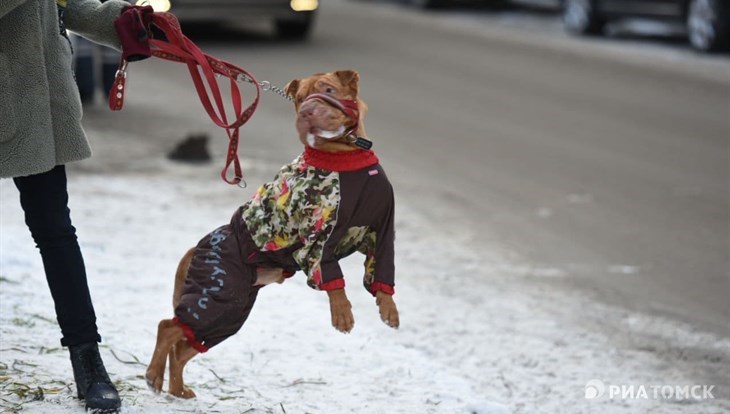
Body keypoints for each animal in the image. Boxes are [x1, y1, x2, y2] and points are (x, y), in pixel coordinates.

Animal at [144, 70, 398, 398]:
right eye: (300, 99)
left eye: (329, 90)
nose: (307, 111)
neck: (346, 155)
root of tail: (195, 248)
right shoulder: (319, 237)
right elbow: (331, 278)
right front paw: (342, 313)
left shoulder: (383, 229)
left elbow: (383, 268)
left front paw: (389, 308)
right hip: (216, 295)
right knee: (168, 326)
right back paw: (153, 376)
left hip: (230, 311)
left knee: (183, 346)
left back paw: (177, 390)